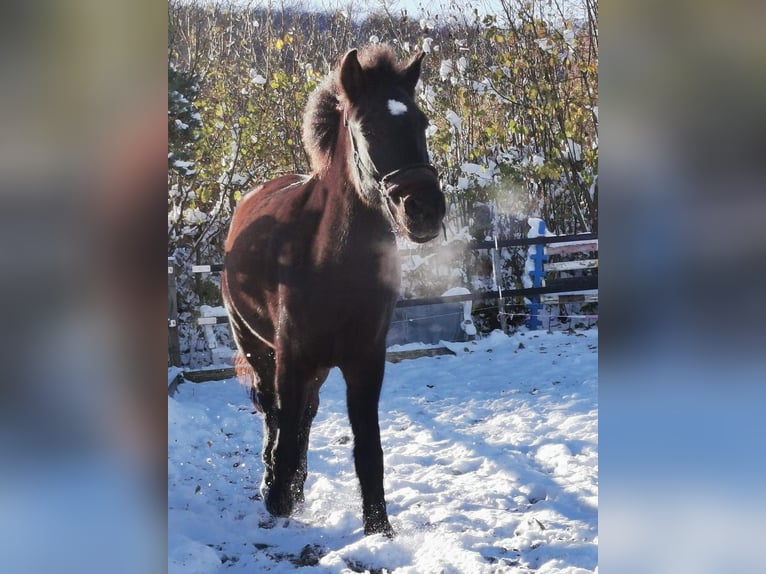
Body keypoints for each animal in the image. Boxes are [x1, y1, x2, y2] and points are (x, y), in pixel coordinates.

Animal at [222, 46, 448, 540]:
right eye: (368, 128)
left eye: (421, 122)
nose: (424, 209)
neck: (331, 267)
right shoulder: (290, 359)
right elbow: (285, 430)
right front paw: (278, 504)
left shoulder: (365, 361)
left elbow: (368, 448)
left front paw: (378, 528)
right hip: (258, 349)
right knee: (274, 414)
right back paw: (274, 483)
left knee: (305, 416)